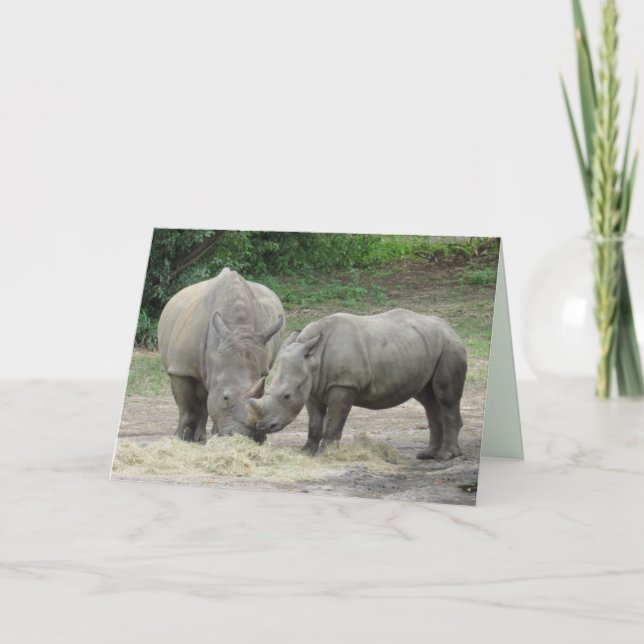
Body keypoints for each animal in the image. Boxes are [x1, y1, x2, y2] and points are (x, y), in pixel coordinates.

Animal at [158, 268, 284, 442]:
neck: (238, 328)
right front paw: (179, 439)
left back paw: (202, 438)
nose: (247, 436)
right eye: (225, 398)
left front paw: (218, 436)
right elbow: (188, 409)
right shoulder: (181, 369)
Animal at [249, 309, 467, 460]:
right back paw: (427, 454)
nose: (263, 426)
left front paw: (326, 454)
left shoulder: (344, 386)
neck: (312, 359)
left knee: (445, 397)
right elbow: (314, 423)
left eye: (286, 396)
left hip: (450, 347)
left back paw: (446, 456)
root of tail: (451, 328)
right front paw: (306, 452)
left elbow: (333, 421)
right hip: (425, 346)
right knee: (428, 400)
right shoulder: (311, 389)